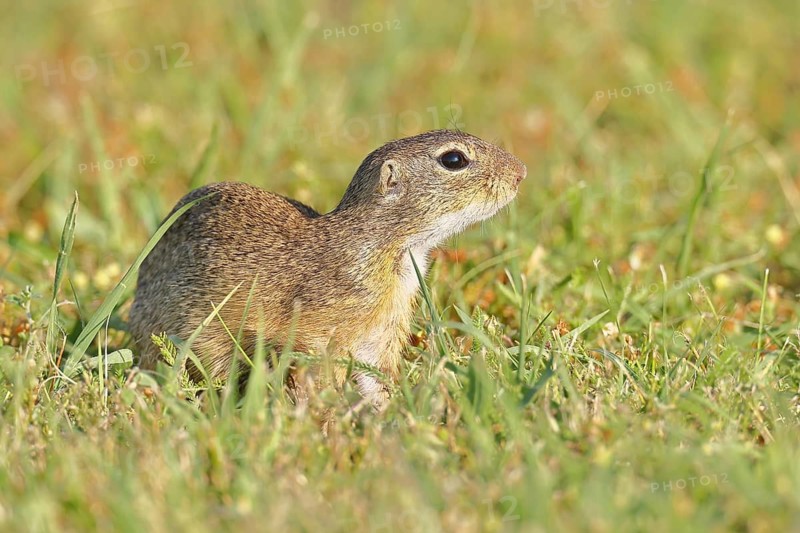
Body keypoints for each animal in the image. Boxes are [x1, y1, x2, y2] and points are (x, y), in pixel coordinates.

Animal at [129, 129, 526, 407]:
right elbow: (318, 372)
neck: (382, 247)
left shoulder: (382, 332)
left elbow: (376, 376)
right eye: (454, 159)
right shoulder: (319, 330)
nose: (521, 171)